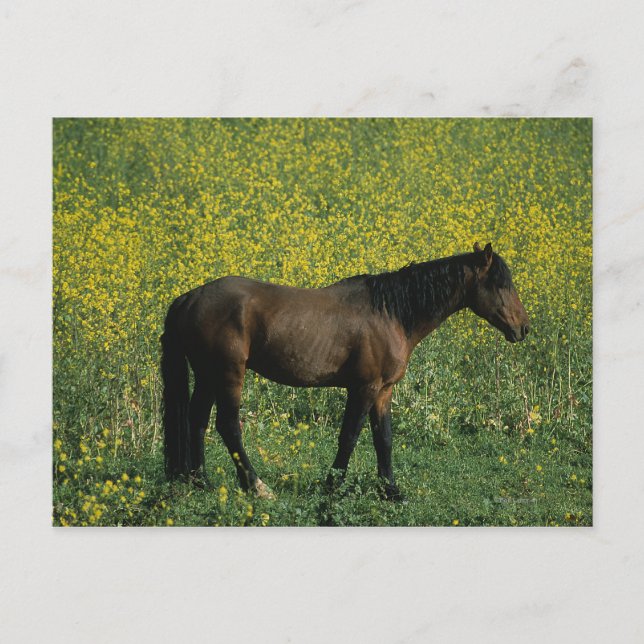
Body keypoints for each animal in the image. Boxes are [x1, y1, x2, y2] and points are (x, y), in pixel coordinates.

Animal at [160, 242, 529, 500]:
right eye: (501, 284)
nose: (523, 329)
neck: (391, 313)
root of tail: (189, 298)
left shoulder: (383, 391)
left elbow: (384, 439)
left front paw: (390, 490)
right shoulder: (364, 388)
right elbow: (350, 436)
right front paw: (332, 485)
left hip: (208, 375)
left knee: (197, 420)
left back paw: (201, 480)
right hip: (228, 374)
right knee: (227, 426)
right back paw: (257, 487)